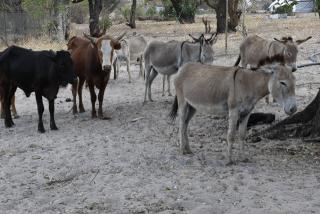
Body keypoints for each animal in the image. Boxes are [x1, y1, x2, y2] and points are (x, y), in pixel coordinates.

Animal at [170, 55, 298, 164]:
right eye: (282, 82)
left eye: (294, 82)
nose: (294, 109)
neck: (250, 84)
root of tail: (183, 68)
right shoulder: (234, 111)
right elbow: (231, 135)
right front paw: (229, 160)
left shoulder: (246, 113)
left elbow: (242, 135)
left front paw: (243, 158)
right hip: (183, 102)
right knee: (181, 123)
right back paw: (182, 150)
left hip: (193, 106)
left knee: (186, 124)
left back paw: (188, 149)